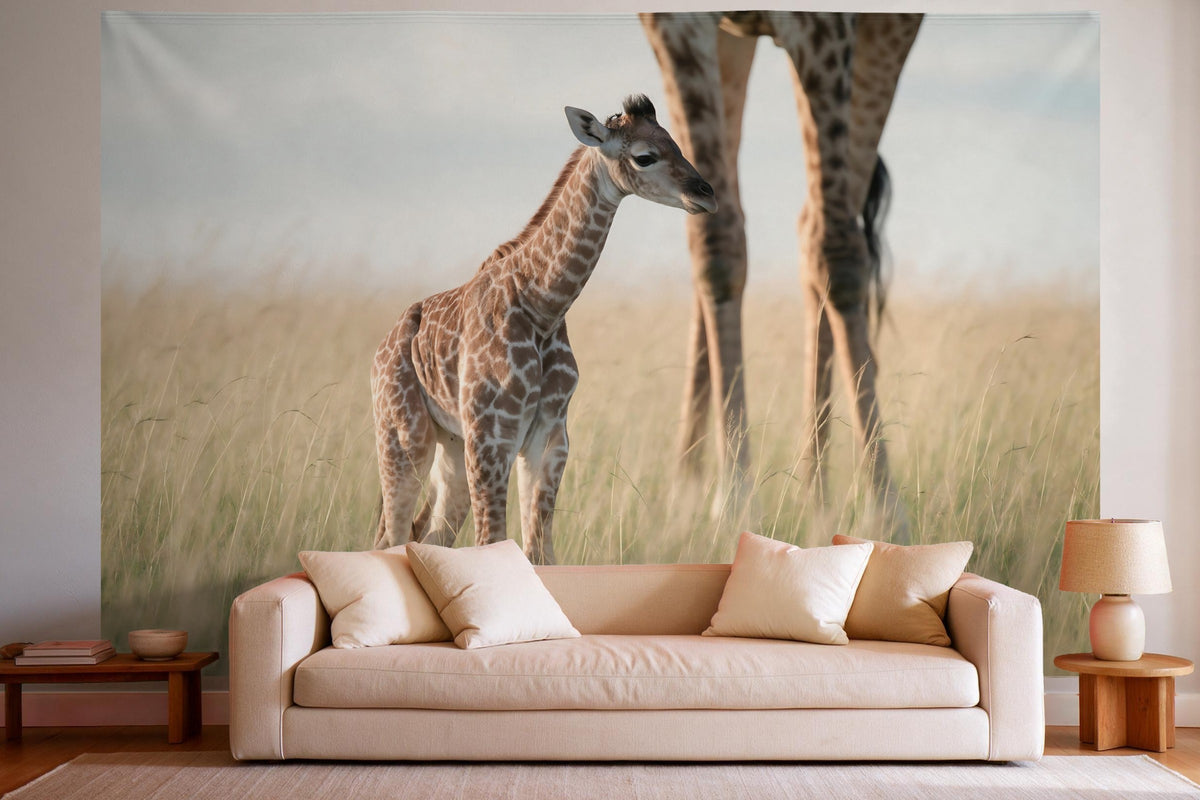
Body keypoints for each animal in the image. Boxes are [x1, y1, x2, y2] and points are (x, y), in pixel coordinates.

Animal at [372, 95, 716, 564]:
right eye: (645, 156)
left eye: (676, 143)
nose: (705, 194)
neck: (542, 305)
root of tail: (380, 353)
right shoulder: (492, 436)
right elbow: (494, 541)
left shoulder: (550, 437)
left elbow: (540, 549)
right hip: (404, 438)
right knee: (390, 536)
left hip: (450, 448)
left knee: (426, 534)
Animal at [640, 11, 922, 539]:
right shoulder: (676, 23)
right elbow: (715, 240)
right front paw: (731, 504)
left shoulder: (830, 26)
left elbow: (836, 250)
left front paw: (885, 515)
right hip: (737, 41)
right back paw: (689, 498)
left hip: (885, 33)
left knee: (824, 232)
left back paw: (819, 501)